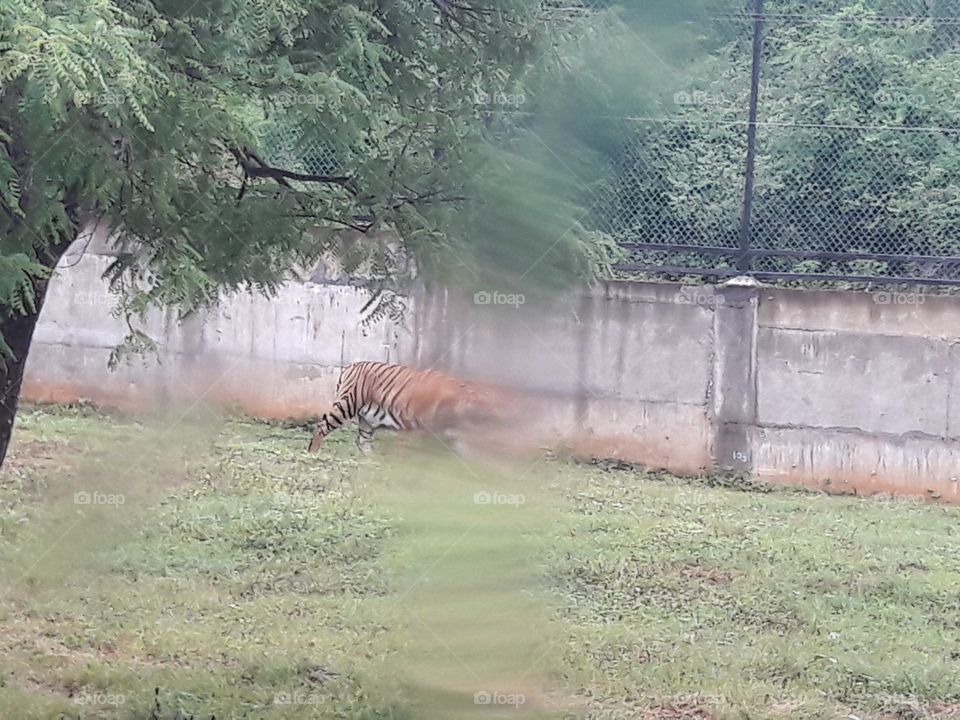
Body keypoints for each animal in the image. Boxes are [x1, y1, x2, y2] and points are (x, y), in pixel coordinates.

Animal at [307, 361, 511, 455]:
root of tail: (351, 365)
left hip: (367, 421)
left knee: (363, 441)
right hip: (347, 404)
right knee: (322, 425)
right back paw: (313, 452)